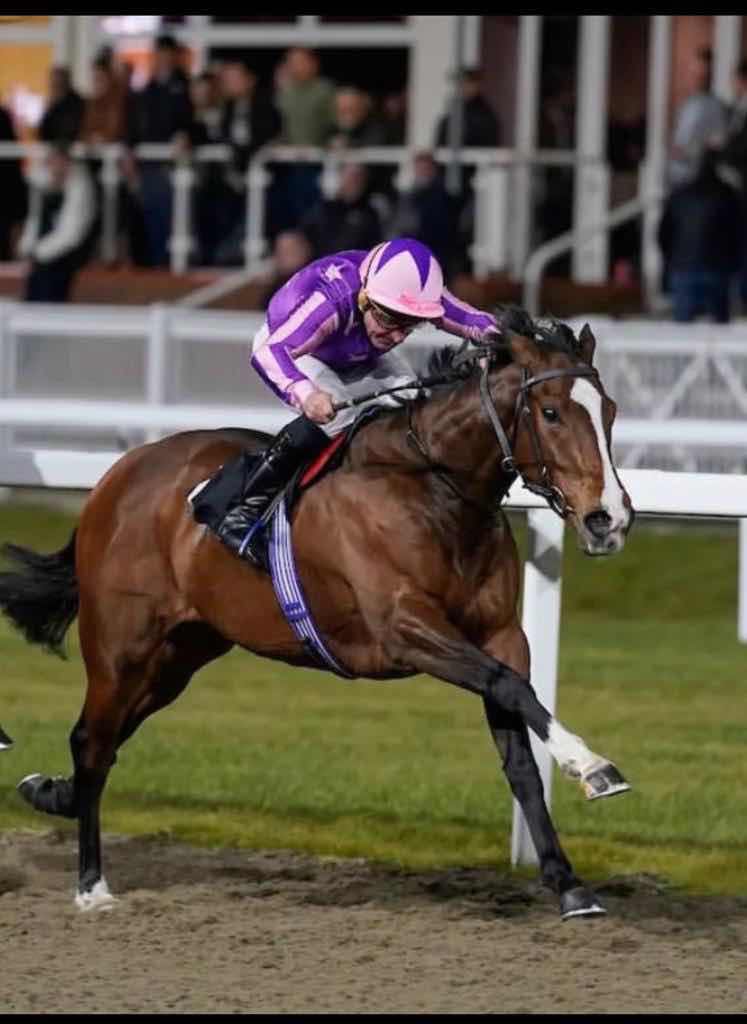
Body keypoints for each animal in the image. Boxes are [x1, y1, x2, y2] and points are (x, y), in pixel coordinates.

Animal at [0, 307, 634, 918]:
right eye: (550, 413)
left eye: (609, 410)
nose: (609, 519)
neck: (435, 489)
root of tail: (115, 477)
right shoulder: (406, 629)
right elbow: (511, 688)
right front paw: (594, 767)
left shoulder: (500, 634)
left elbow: (519, 746)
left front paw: (568, 883)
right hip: (121, 647)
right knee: (93, 741)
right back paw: (91, 885)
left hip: (178, 656)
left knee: (101, 741)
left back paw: (50, 792)